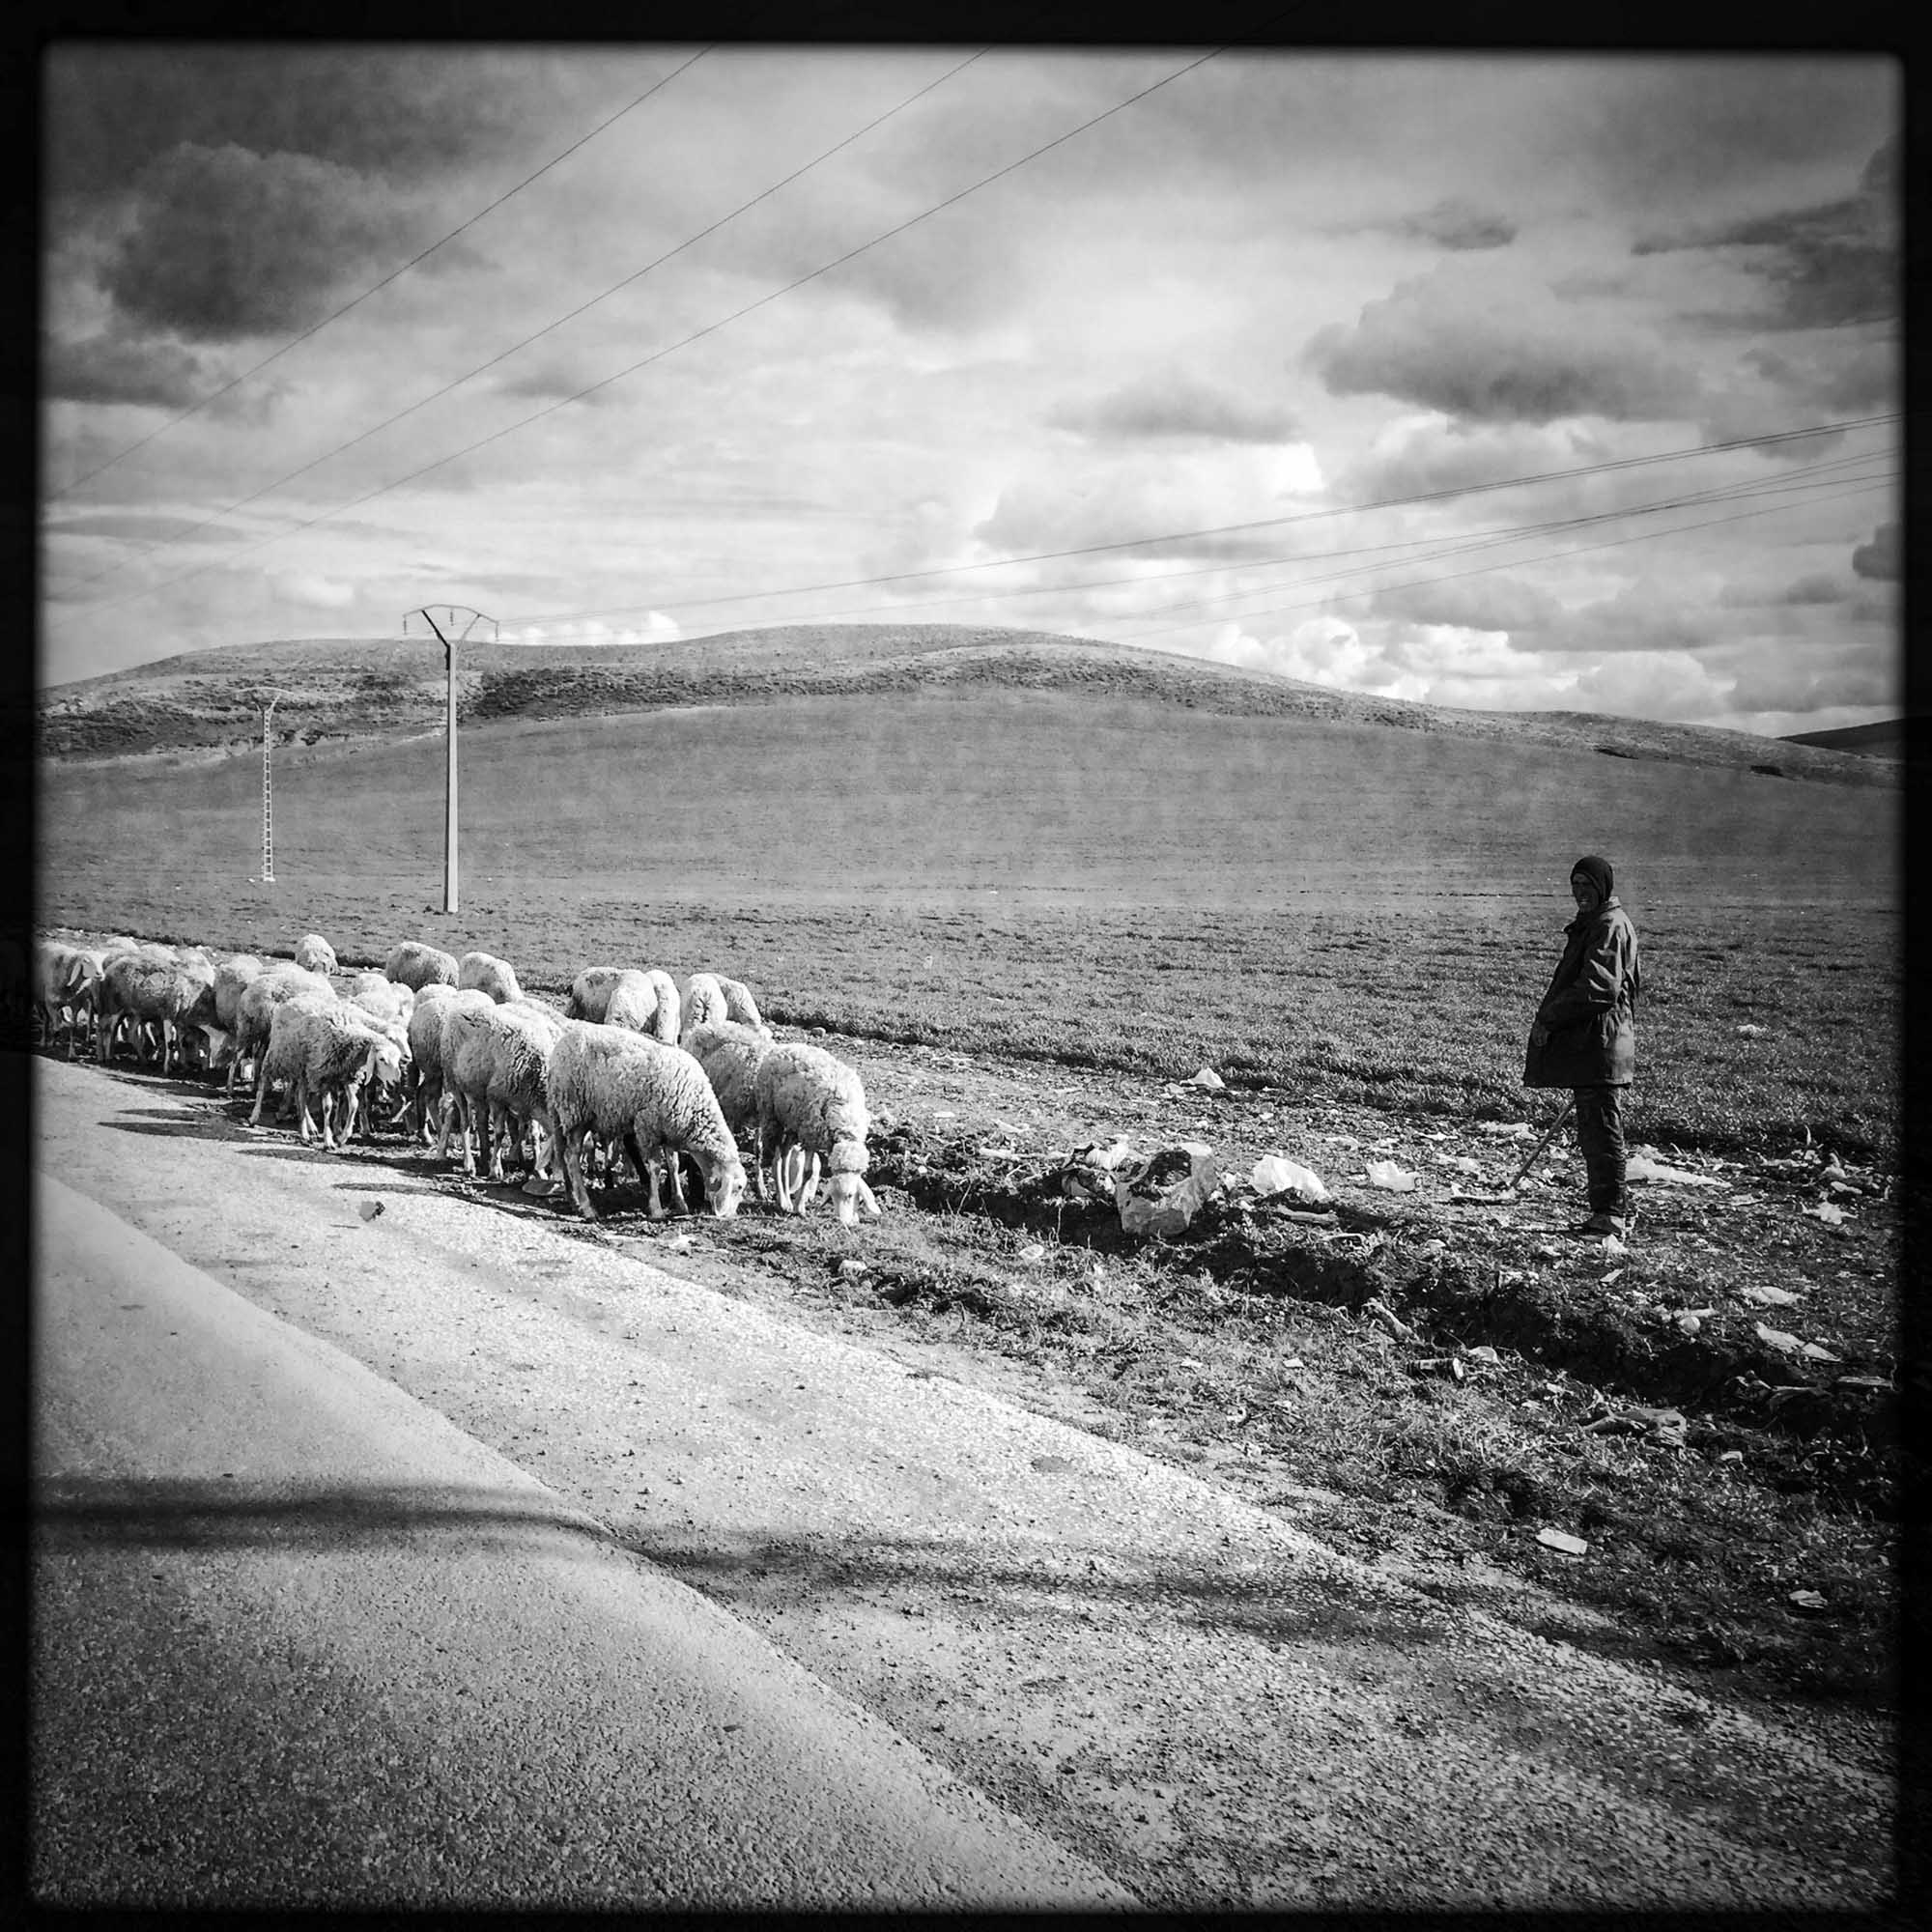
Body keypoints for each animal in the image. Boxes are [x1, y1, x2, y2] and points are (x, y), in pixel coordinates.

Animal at [553, 1028, 753, 1221]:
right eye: (738, 1187)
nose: (730, 1215)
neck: (695, 1106)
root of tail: (562, 1042)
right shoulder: (648, 1127)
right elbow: (656, 1168)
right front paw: (656, 1209)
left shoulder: (670, 1130)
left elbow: (673, 1165)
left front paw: (680, 1203)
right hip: (575, 1112)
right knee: (571, 1157)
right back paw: (587, 1208)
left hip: (566, 1114)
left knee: (563, 1153)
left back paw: (574, 1199)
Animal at [750, 1036, 881, 1229]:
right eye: (832, 1196)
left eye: (850, 1195)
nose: (842, 1222)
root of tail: (785, 1047)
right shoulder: (810, 1136)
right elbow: (808, 1173)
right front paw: (799, 1207)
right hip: (772, 1115)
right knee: (776, 1158)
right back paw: (783, 1200)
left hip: (793, 1123)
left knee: (785, 1154)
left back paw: (786, 1196)